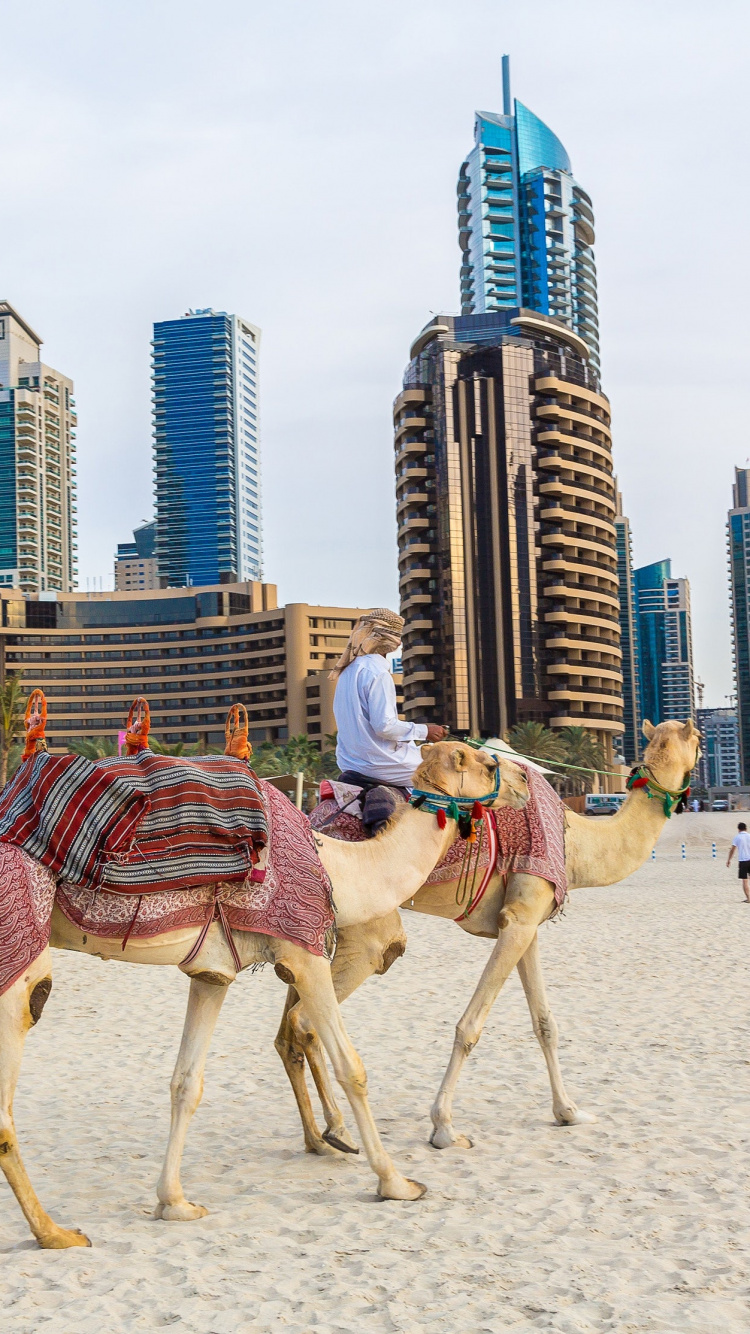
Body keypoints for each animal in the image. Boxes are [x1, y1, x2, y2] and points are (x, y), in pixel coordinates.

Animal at [0, 741, 528, 1249]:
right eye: (482, 763)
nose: (523, 779)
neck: (338, 867)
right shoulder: (304, 953)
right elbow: (352, 1067)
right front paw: (397, 1182)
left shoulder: (211, 974)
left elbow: (186, 1083)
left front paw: (175, 1202)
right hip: (18, 957)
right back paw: (55, 1233)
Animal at [274, 718, 700, 1155]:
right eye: (699, 740)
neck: (575, 842)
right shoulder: (521, 917)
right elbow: (470, 1027)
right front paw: (444, 1127)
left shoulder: (525, 922)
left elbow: (545, 1023)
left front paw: (568, 1111)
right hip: (367, 933)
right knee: (309, 1015)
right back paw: (337, 1132)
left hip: (309, 932)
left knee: (288, 1029)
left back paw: (321, 1137)